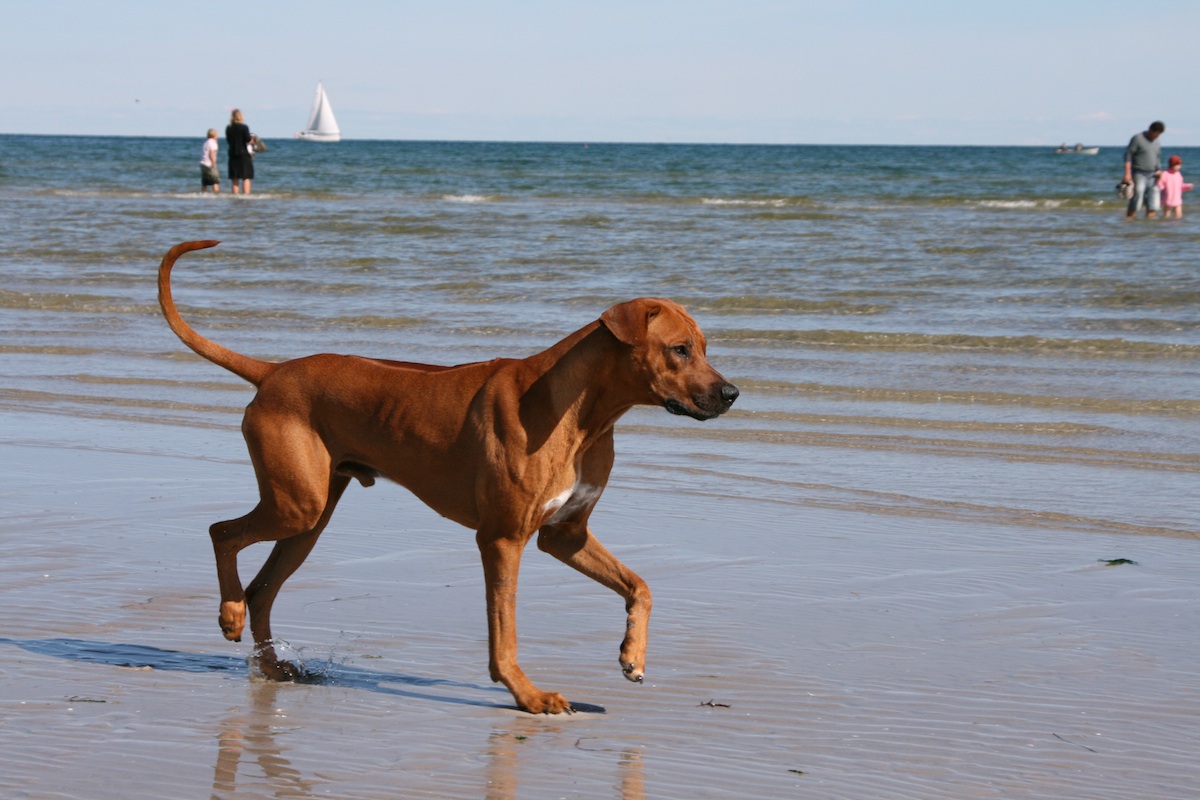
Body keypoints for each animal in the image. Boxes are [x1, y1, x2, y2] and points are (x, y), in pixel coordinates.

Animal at [157, 239, 739, 714]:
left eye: (704, 347)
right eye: (680, 349)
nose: (732, 393)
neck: (584, 414)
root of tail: (274, 371)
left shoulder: (565, 535)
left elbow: (640, 586)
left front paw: (631, 655)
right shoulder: (502, 539)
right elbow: (504, 631)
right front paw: (527, 695)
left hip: (308, 518)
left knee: (263, 588)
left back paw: (271, 664)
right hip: (296, 504)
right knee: (222, 533)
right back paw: (229, 614)